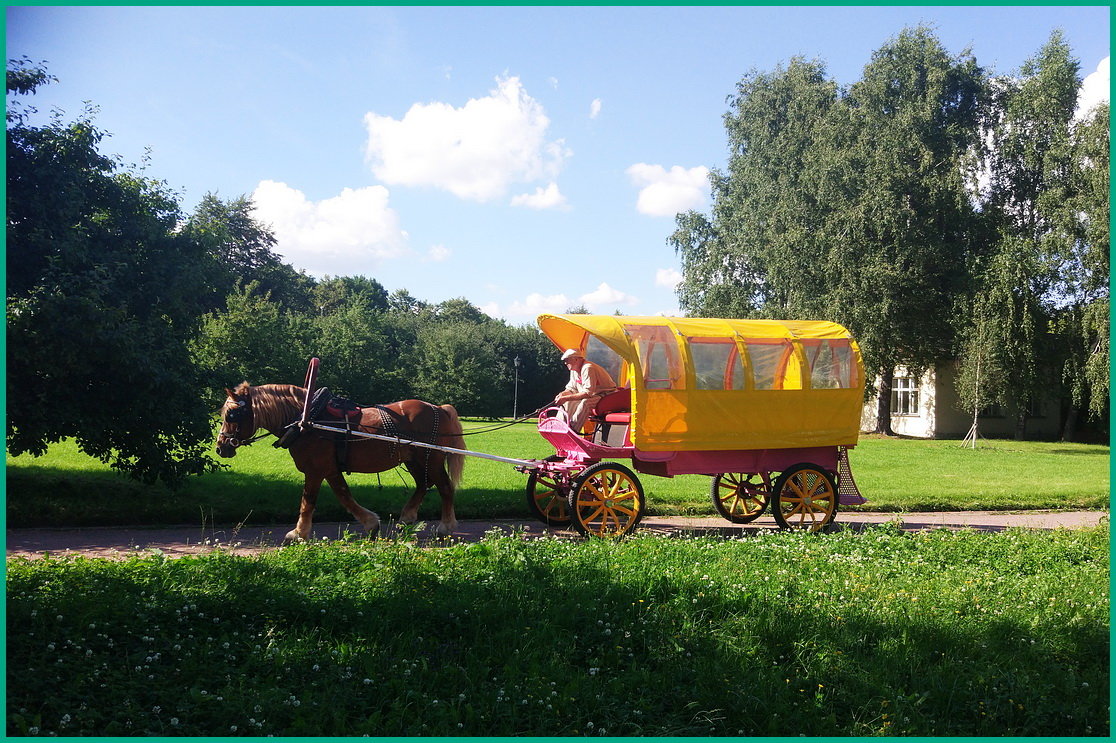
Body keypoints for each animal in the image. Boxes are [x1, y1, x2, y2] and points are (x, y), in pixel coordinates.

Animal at [215, 381, 464, 537]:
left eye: (231, 415)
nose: (220, 447)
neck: (307, 421)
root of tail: (438, 407)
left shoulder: (315, 470)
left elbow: (308, 501)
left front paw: (297, 533)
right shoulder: (331, 469)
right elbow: (344, 496)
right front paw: (371, 523)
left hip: (431, 457)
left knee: (444, 487)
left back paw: (445, 527)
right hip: (414, 459)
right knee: (423, 484)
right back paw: (406, 518)